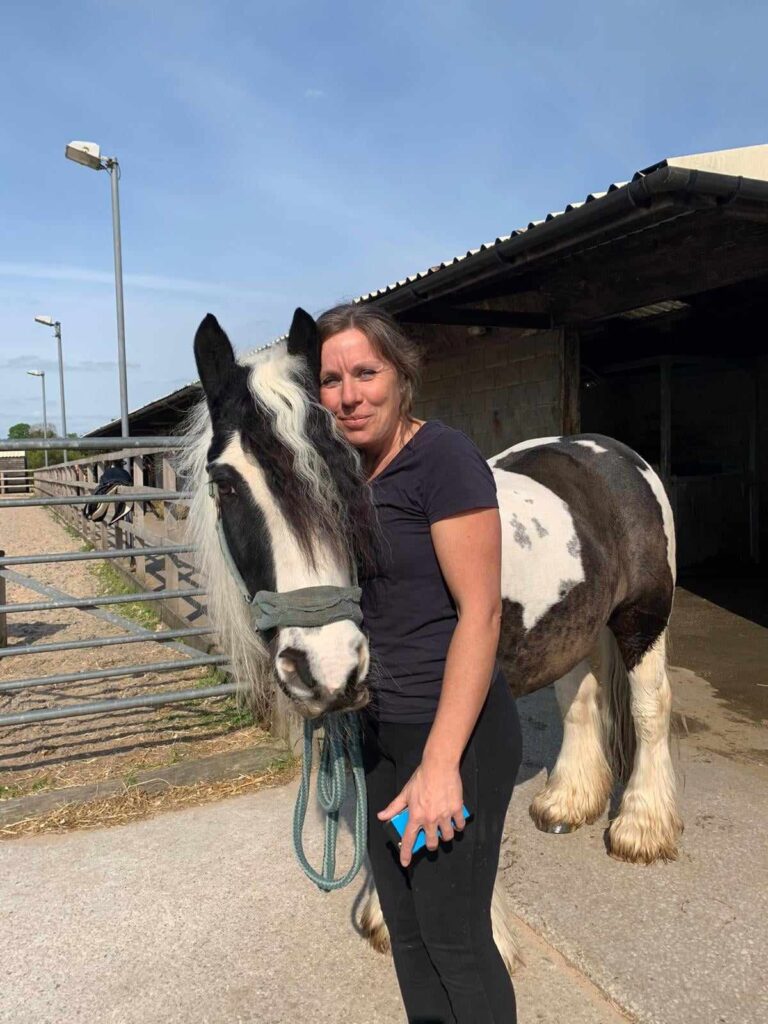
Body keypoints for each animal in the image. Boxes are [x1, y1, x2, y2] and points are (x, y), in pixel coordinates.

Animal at [182, 307, 684, 962]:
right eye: (225, 484)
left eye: (343, 472)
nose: (325, 666)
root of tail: (610, 453)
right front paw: (383, 914)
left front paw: (486, 930)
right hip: (575, 626)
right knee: (580, 699)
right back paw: (568, 800)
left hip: (643, 617)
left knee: (650, 708)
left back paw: (641, 827)